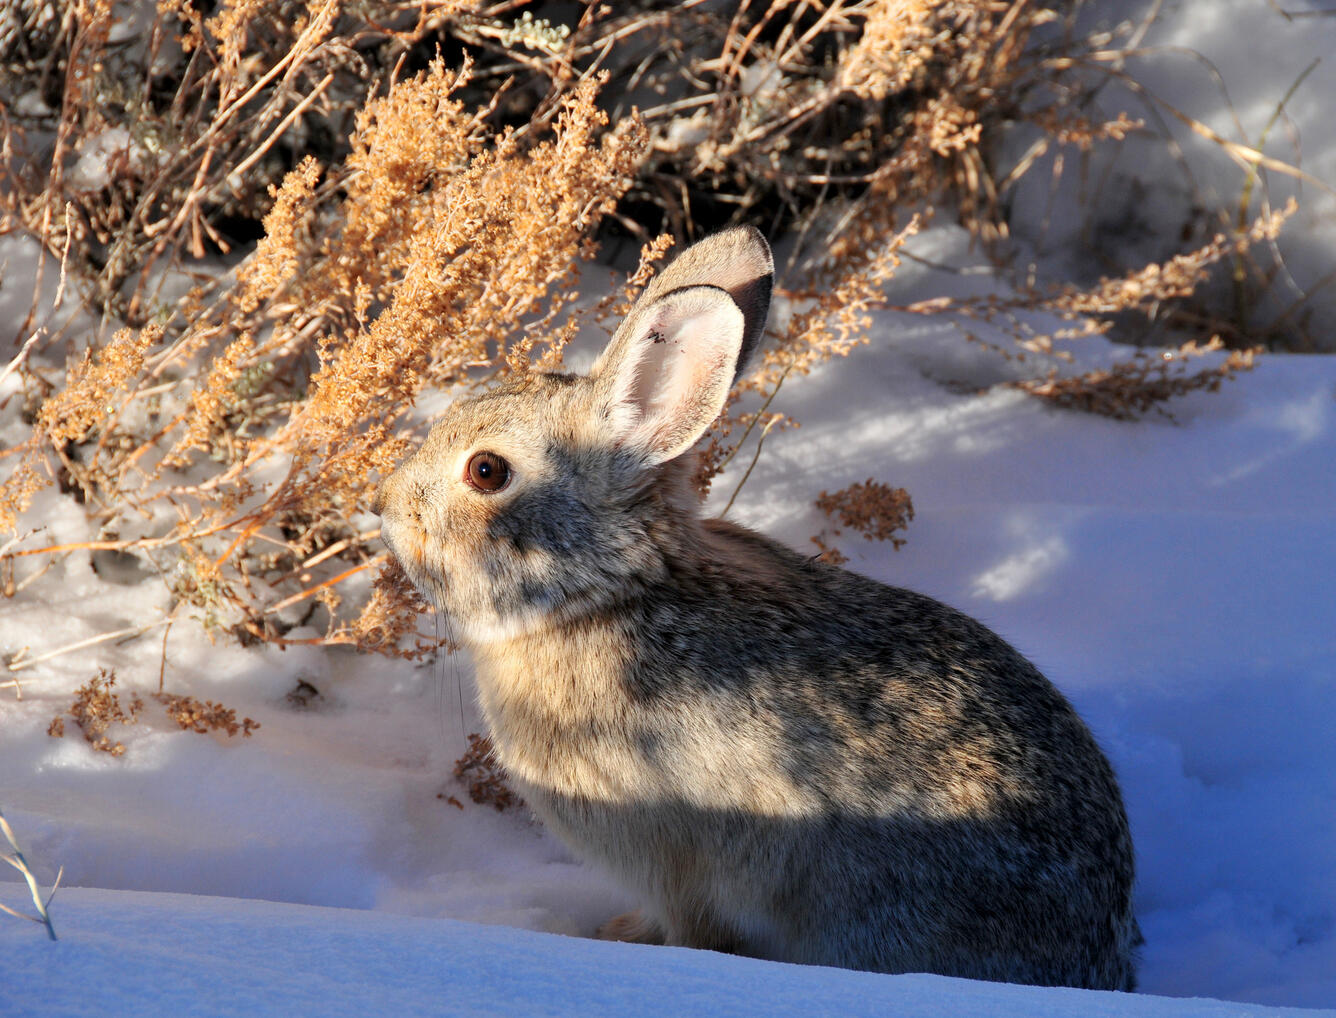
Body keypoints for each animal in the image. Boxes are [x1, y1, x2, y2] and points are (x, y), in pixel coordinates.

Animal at [374, 225, 1138, 988]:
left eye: (487, 471)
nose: (385, 507)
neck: (605, 596)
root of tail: (1093, 965)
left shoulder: (682, 866)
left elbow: (694, 930)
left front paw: (625, 940)